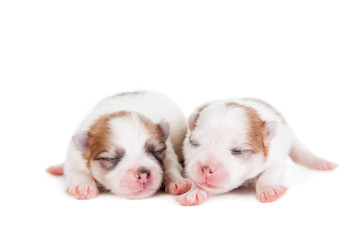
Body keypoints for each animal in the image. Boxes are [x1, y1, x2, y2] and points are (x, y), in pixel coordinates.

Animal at [47, 91, 191, 199]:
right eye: (111, 158)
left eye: (156, 151)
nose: (143, 174)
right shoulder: (75, 155)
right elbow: (75, 171)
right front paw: (83, 187)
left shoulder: (169, 150)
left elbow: (171, 165)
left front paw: (178, 182)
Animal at [179, 98, 338, 205]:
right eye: (194, 143)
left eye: (238, 151)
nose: (206, 168)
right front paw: (194, 192)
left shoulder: (276, 156)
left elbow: (269, 173)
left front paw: (269, 190)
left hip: (291, 137)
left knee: (301, 151)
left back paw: (323, 163)